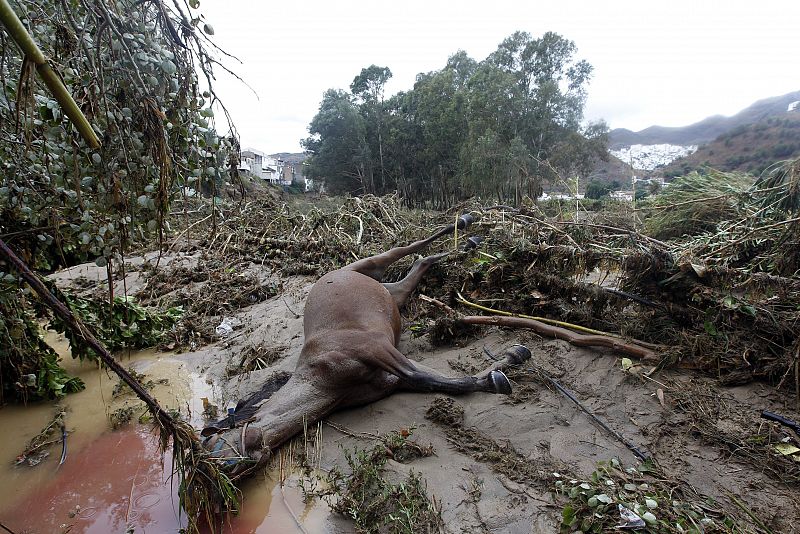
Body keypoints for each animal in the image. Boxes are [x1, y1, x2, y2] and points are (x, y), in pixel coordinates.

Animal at [200, 216, 512, 480]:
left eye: (212, 442)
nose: (223, 473)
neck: (322, 378)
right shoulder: (392, 379)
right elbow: (436, 381)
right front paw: (501, 368)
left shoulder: (377, 349)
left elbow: (422, 375)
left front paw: (499, 376)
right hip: (395, 294)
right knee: (422, 263)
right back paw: (467, 244)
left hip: (371, 264)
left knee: (407, 249)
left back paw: (465, 228)